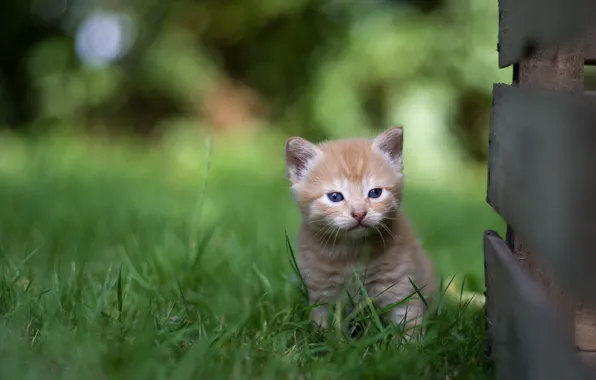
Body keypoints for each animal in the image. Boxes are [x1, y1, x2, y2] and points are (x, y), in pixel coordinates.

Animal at [286, 126, 436, 334]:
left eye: (375, 193)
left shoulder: (401, 288)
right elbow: (326, 327)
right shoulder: (322, 293)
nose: (359, 213)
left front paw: (410, 343)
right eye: (335, 196)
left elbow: (408, 323)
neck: (352, 253)